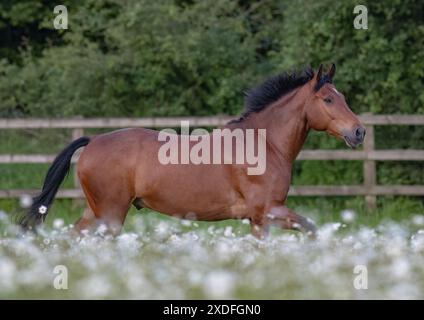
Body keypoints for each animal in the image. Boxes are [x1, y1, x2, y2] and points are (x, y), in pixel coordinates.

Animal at [19, 63, 364, 238]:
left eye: (342, 96)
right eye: (328, 99)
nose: (359, 131)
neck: (263, 144)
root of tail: (92, 141)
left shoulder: (257, 219)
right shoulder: (267, 211)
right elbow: (311, 228)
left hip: (97, 211)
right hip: (111, 213)